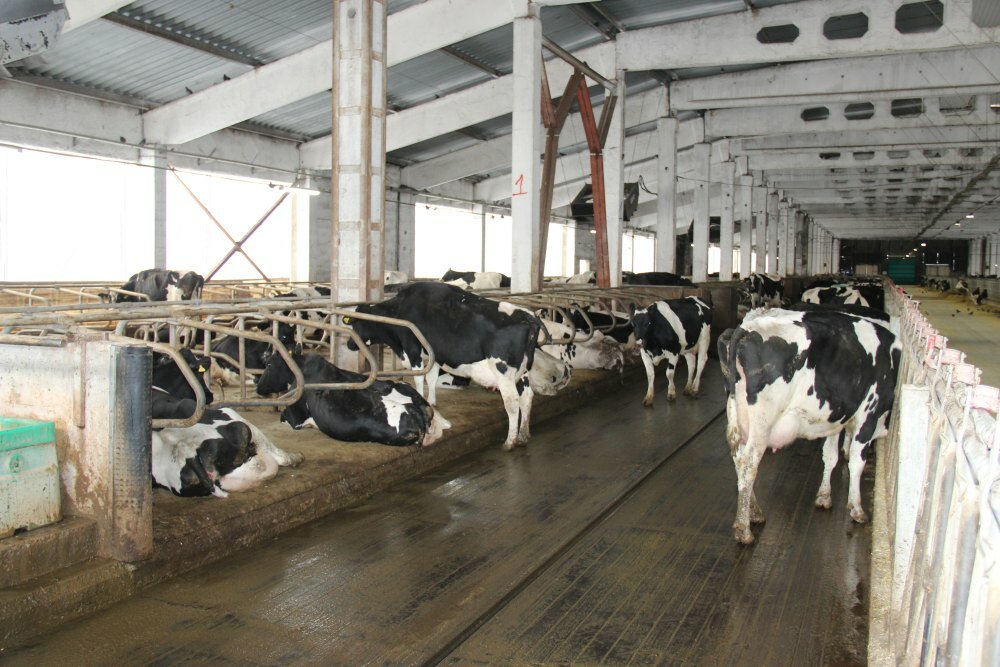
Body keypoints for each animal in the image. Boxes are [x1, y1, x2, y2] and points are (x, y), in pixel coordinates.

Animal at [344, 281, 542, 449]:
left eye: (356, 324)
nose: (348, 344)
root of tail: (529, 317)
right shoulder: (435, 355)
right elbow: (431, 378)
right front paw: (431, 401)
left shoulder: (413, 350)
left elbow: (419, 379)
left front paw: (422, 396)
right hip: (524, 371)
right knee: (527, 397)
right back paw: (524, 436)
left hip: (503, 371)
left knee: (512, 402)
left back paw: (510, 442)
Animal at [717, 307, 901, 544]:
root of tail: (746, 328)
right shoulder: (867, 417)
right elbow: (856, 463)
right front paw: (857, 509)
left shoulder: (835, 420)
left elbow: (830, 456)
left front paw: (824, 497)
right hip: (762, 423)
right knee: (748, 464)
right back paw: (744, 530)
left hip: (738, 418)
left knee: (738, 459)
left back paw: (755, 513)